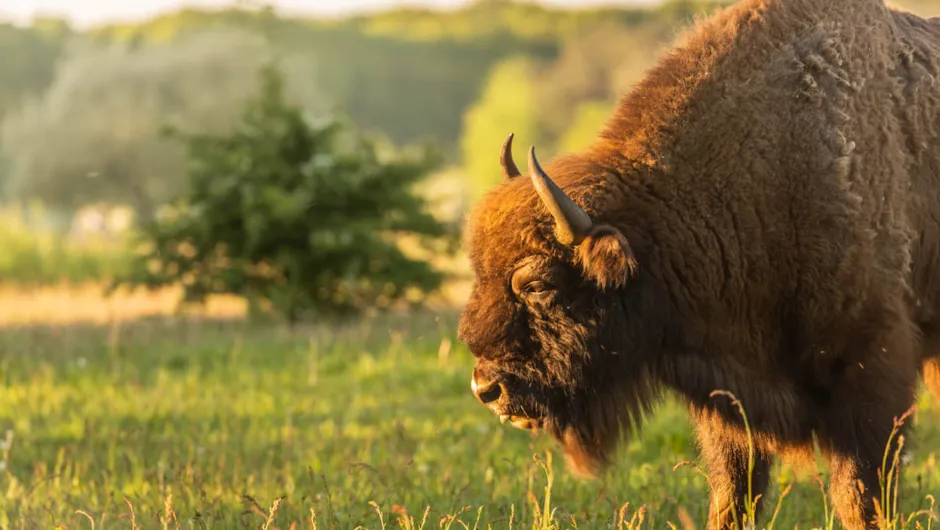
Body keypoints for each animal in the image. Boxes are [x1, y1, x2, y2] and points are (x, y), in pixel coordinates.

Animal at [456, 0, 940, 524]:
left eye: (539, 285)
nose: (486, 389)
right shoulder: (729, 400)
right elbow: (734, 488)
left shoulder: (871, 370)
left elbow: (859, 492)